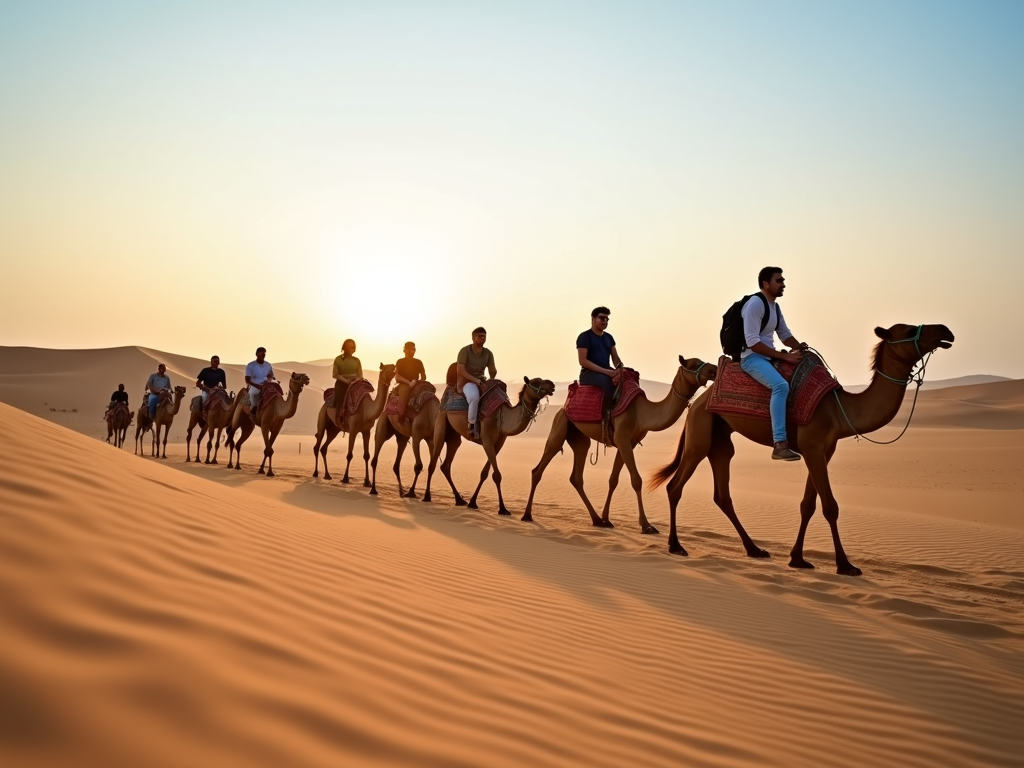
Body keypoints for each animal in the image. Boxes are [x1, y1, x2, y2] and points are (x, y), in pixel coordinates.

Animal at [421, 376, 557, 518]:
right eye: (536, 382)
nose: (552, 385)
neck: (503, 416)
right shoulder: (487, 439)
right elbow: (496, 475)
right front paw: (502, 509)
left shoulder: (499, 443)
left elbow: (485, 473)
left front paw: (473, 502)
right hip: (441, 422)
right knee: (433, 463)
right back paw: (427, 497)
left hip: (453, 435)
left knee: (446, 464)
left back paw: (460, 500)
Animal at [524, 356, 716, 532]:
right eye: (694, 364)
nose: (713, 369)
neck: (642, 413)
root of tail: (563, 406)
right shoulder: (623, 439)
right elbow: (636, 480)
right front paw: (646, 525)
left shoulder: (627, 443)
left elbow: (613, 480)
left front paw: (606, 519)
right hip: (559, 427)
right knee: (538, 469)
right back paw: (527, 515)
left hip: (579, 438)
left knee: (576, 476)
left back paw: (596, 519)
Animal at [651, 323, 954, 577]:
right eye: (909, 329)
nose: (945, 331)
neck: (838, 409)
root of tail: (697, 402)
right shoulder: (813, 446)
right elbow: (830, 506)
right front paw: (845, 565)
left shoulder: (822, 450)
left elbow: (808, 504)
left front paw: (797, 559)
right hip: (700, 435)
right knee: (675, 486)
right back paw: (676, 546)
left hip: (721, 440)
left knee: (722, 494)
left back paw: (755, 550)